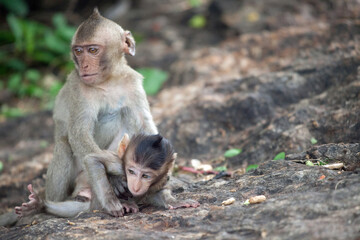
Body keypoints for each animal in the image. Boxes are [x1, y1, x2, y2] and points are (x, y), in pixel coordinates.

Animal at [14, 134, 200, 218]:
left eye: (146, 176)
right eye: (131, 171)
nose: (135, 185)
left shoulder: (161, 178)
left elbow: (157, 193)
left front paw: (175, 201)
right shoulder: (120, 166)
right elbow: (92, 160)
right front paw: (112, 202)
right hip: (95, 201)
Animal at [45, 8, 157, 217]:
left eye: (93, 50)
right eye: (78, 51)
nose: (84, 66)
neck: (109, 80)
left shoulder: (132, 83)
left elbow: (145, 125)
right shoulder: (79, 87)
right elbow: (79, 134)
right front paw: (112, 179)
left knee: (127, 117)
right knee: (64, 144)